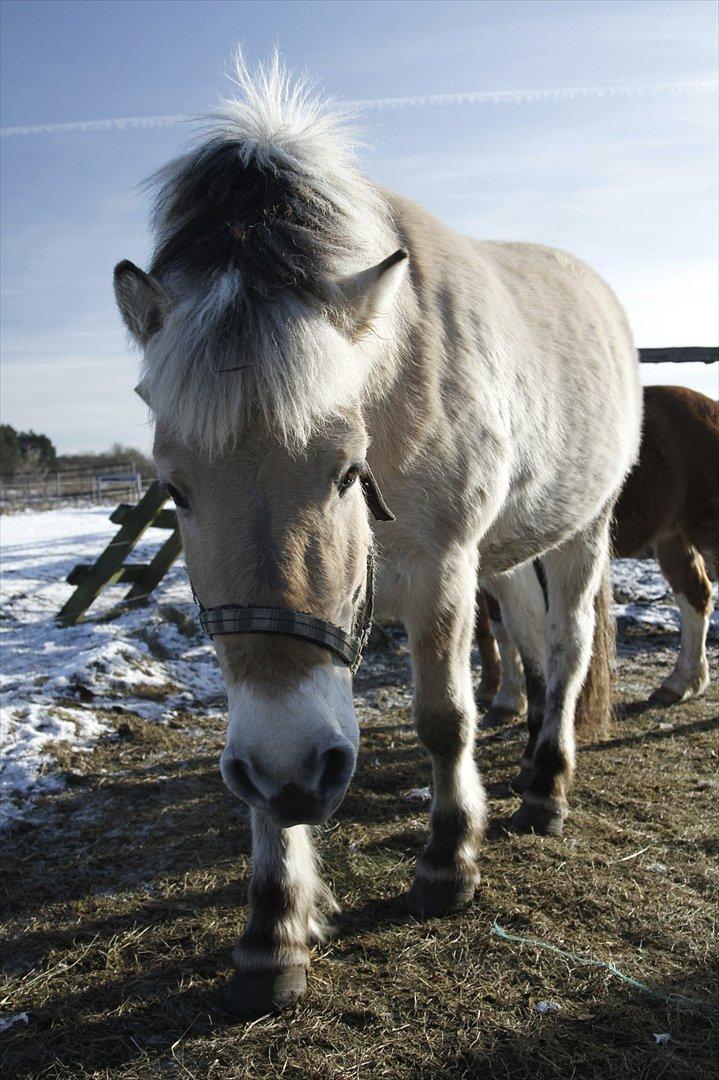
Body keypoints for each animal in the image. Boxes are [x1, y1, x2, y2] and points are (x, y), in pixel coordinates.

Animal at [114, 54, 639, 1015]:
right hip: (501, 552)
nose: (290, 770)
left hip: (582, 526)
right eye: (173, 487)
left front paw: (447, 863)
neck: (394, 383)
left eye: (345, 470)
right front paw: (273, 925)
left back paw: (545, 787)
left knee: (567, 642)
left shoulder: (439, 567)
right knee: (529, 636)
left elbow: (442, 716)